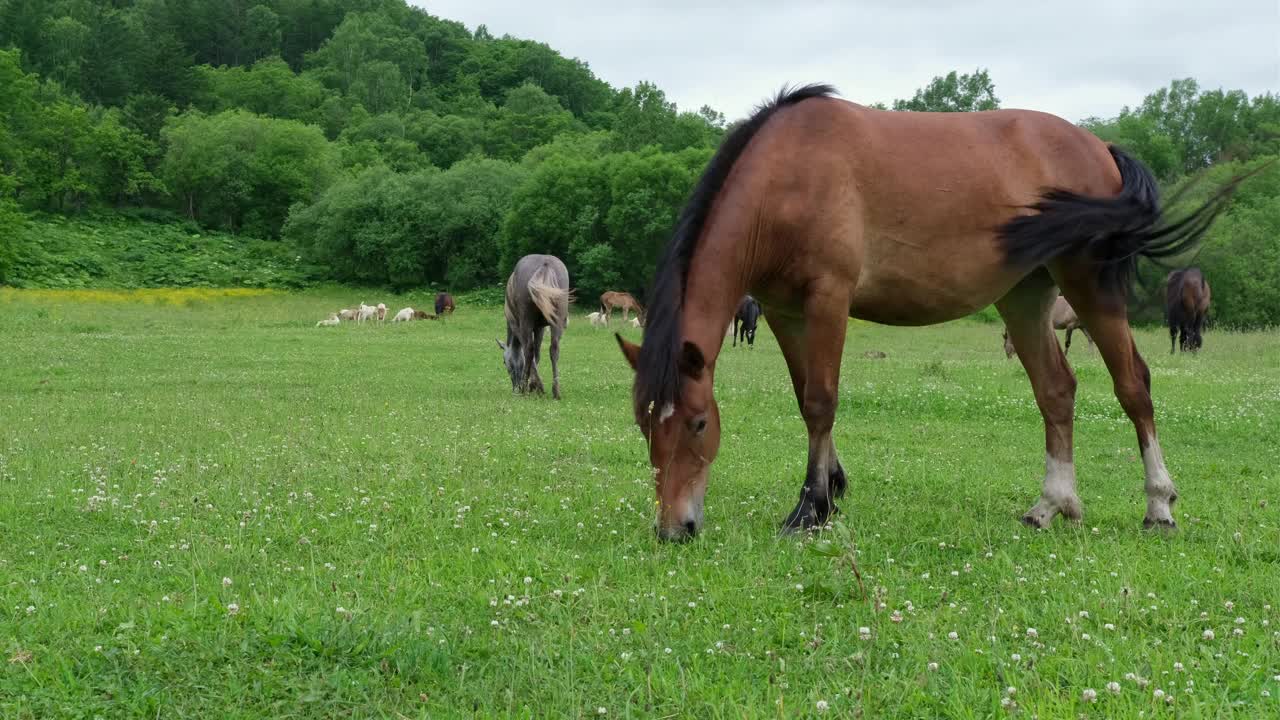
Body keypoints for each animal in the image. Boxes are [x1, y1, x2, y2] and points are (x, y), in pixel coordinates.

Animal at [494, 253, 570, 397]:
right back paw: (556, 391)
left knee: (528, 349)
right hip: (557, 321)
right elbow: (538, 353)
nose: (515, 387)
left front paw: (533, 385)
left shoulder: (516, 326)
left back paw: (525, 388)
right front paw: (535, 385)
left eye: (504, 362)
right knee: (554, 348)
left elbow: (530, 353)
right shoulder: (540, 327)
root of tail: (545, 265)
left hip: (525, 321)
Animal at [611, 83, 1249, 540]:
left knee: (1133, 385)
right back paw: (1050, 506)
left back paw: (1159, 507)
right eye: (645, 424)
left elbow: (820, 402)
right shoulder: (783, 312)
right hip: (1026, 296)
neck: (787, 178)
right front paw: (833, 490)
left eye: (698, 423)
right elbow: (804, 399)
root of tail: (1099, 148)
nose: (674, 528)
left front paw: (810, 509)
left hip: (1089, 286)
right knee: (1056, 390)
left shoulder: (828, 300)